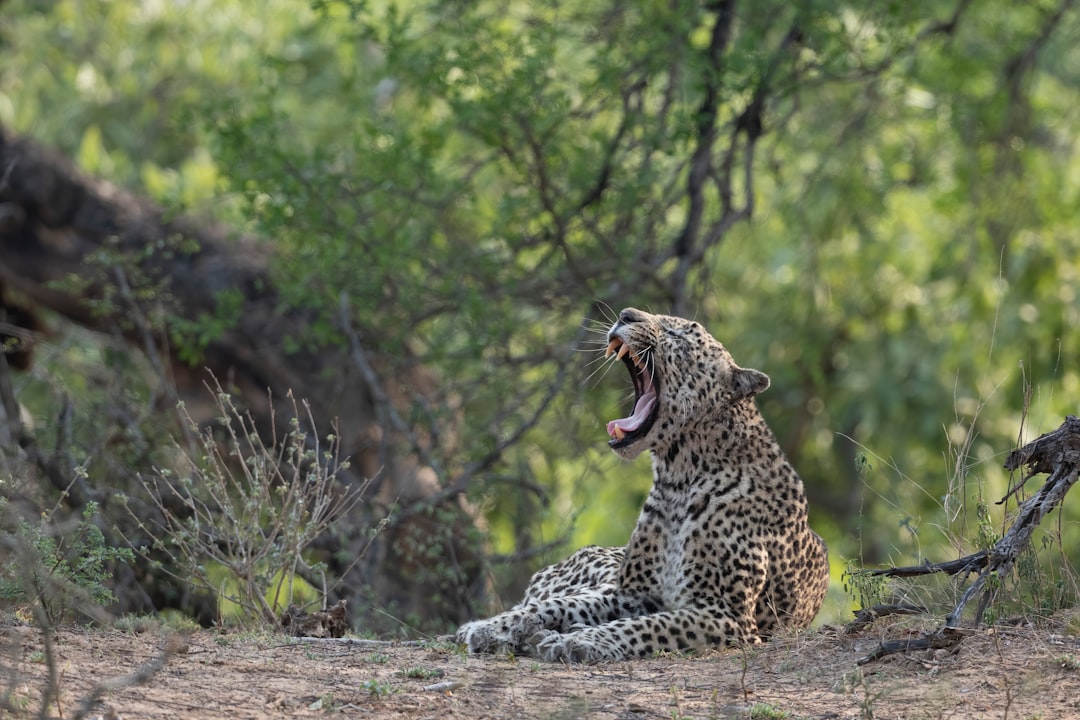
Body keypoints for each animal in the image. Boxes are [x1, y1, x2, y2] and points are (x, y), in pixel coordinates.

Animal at [456, 307, 829, 662]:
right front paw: (490, 627)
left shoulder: (725, 613)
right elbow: (560, 606)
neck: (677, 478)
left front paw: (579, 640)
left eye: (680, 333)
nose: (625, 315)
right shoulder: (631, 593)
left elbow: (647, 626)